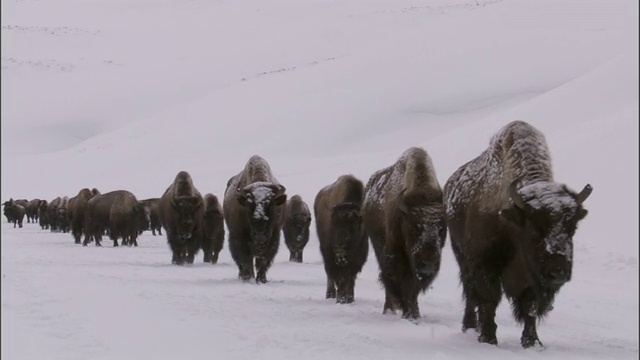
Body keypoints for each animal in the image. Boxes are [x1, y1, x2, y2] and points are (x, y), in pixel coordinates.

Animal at [224, 155, 286, 284]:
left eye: (271, 204)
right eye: (249, 203)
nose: (260, 234)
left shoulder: (273, 237)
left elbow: (263, 259)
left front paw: (262, 279)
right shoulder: (239, 235)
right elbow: (245, 258)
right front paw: (248, 278)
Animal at [314, 174, 368, 304]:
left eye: (354, 225)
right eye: (332, 225)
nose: (339, 250)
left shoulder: (357, 257)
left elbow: (350, 277)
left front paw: (349, 298)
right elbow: (341, 277)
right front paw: (341, 298)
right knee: (330, 273)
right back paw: (330, 294)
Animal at [362, 146, 448, 320]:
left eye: (442, 228)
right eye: (415, 227)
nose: (428, 264)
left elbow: (412, 287)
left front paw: (414, 314)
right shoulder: (397, 256)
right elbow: (404, 282)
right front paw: (410, 313)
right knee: (387, 281)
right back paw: (388, 309)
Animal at [442, 121, 592, 348]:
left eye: (572, 228)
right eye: (534, 229)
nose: (558, 272)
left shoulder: (532, 280)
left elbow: (530, 307)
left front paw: (532, 342)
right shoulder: (485, 267)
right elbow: (488, 300)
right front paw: (488, 338)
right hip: (462, 256)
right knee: (470, 293)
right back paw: (469, 326)